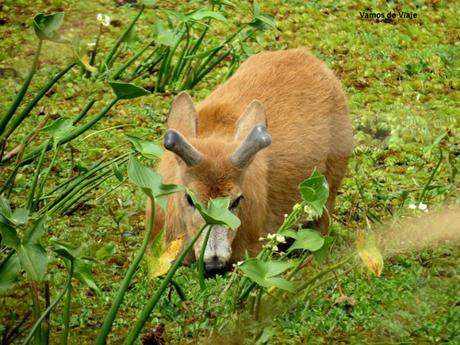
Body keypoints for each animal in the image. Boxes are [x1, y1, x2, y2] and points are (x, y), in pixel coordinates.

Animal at [146, 47, 354, 274]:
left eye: (237, 200)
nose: (215, 263)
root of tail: (306, 54)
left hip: (329, 186)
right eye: (190, 199)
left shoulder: (252, 249)